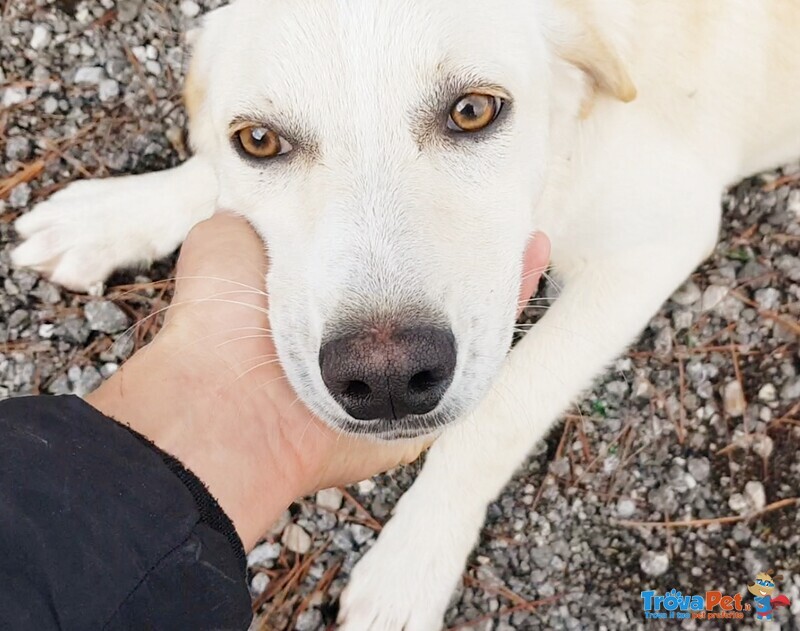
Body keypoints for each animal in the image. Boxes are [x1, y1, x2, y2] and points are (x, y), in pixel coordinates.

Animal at [12, 0, 800, 628]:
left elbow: (497, 412)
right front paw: (111, 216)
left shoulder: (655, 244)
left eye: (474, 110)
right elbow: (210, 174)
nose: (386, 377)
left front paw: (413, 560)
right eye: (260, 140)